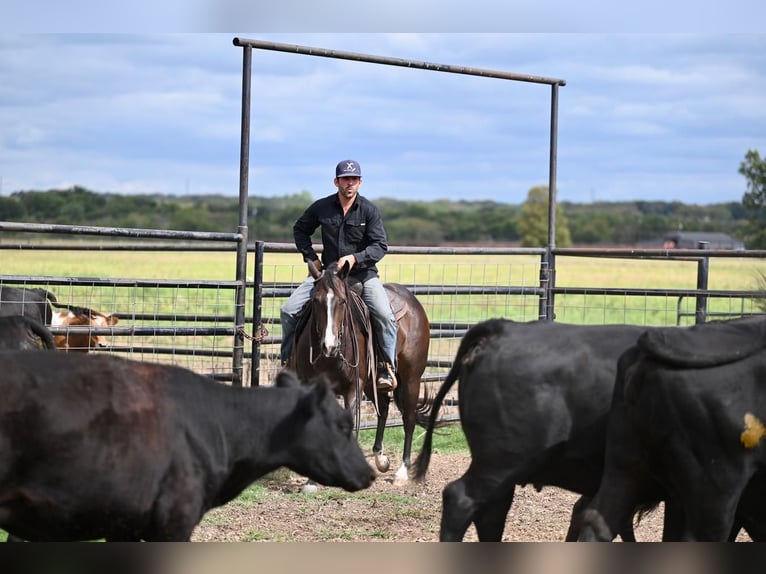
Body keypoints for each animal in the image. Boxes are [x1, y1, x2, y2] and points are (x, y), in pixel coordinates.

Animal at [288, 262, 432, 486]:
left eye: (342, 301)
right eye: (315, 301)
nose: (329, 346)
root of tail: (412, 301)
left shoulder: (352, 388)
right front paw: (312, 481)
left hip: (411, 379)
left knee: (408, 419)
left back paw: (402, 472)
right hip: (373, 383)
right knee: (383, 408)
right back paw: (380, 459)